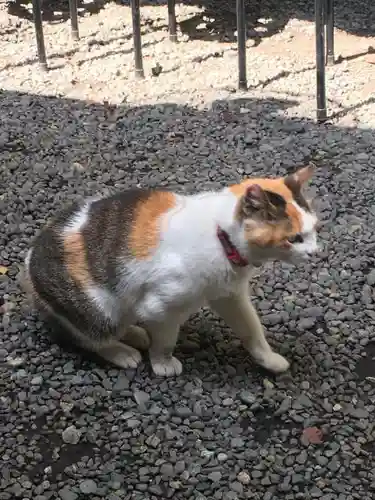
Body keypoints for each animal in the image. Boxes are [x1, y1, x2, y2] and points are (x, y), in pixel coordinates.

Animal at [23, 166, 318, 376]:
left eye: (316, 229)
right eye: (294, 239)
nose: (316, 252)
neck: (220, 236)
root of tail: (29, 257)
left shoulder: (229, 295)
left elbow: (251, 328)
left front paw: (269, 360)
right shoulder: (161, 307)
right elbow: (166, 340)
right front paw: (163, 364)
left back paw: (136, 333)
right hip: (97, 310)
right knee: (88, 337)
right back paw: (123, 352)